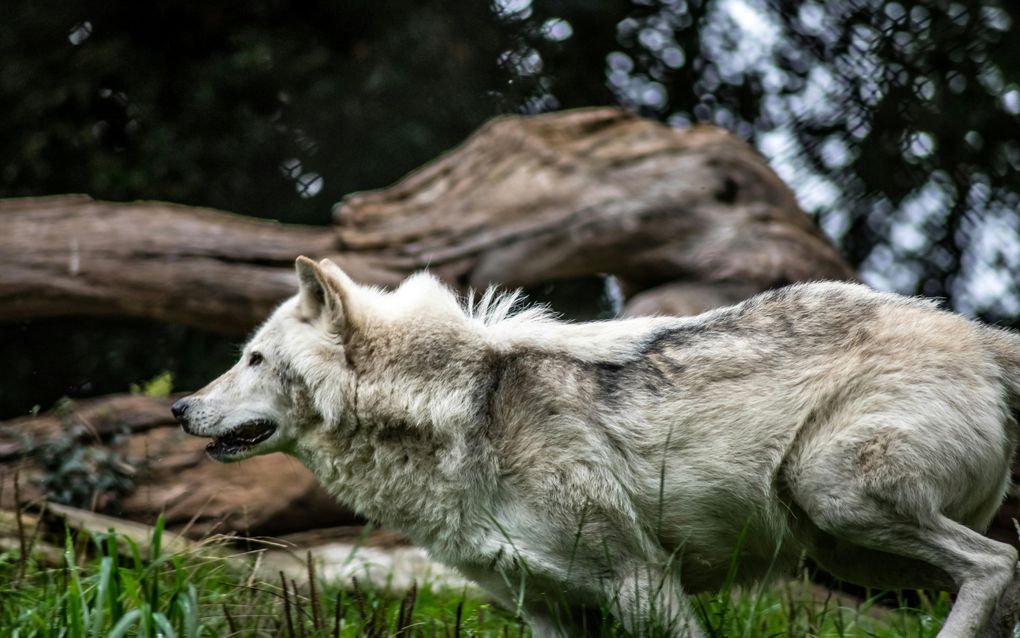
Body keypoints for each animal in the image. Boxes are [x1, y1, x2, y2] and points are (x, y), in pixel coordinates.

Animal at [173, 255, 1020, 636]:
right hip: (848, 549)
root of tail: (977, 333)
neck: (454, 410)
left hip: (835, 501)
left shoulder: (645, 583)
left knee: (994, 563)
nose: (180, 407)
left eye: (253, 359)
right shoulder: (545, 610)